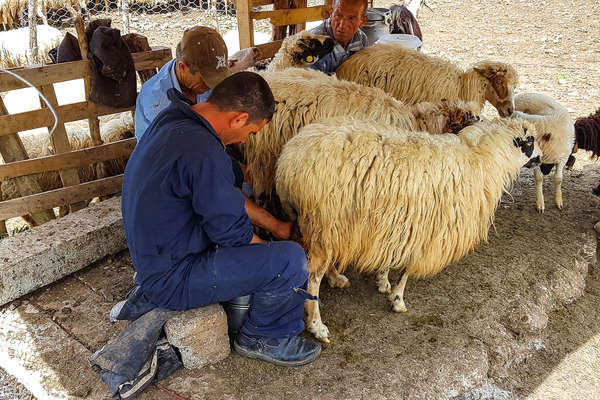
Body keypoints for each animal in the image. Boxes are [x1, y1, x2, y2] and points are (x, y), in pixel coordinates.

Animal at [276, 116, 540, 340]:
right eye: (531, 142)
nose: (542, 159)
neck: (482, 158)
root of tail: (288, 162)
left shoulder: (397, 224)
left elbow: (388, 259)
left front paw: (383, 282)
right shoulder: (427, 232)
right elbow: (408, 270)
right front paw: (398, 299)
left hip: (326, 229)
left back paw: (336, 278)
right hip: (325, 223)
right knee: (312, 277)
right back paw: (317, 325)